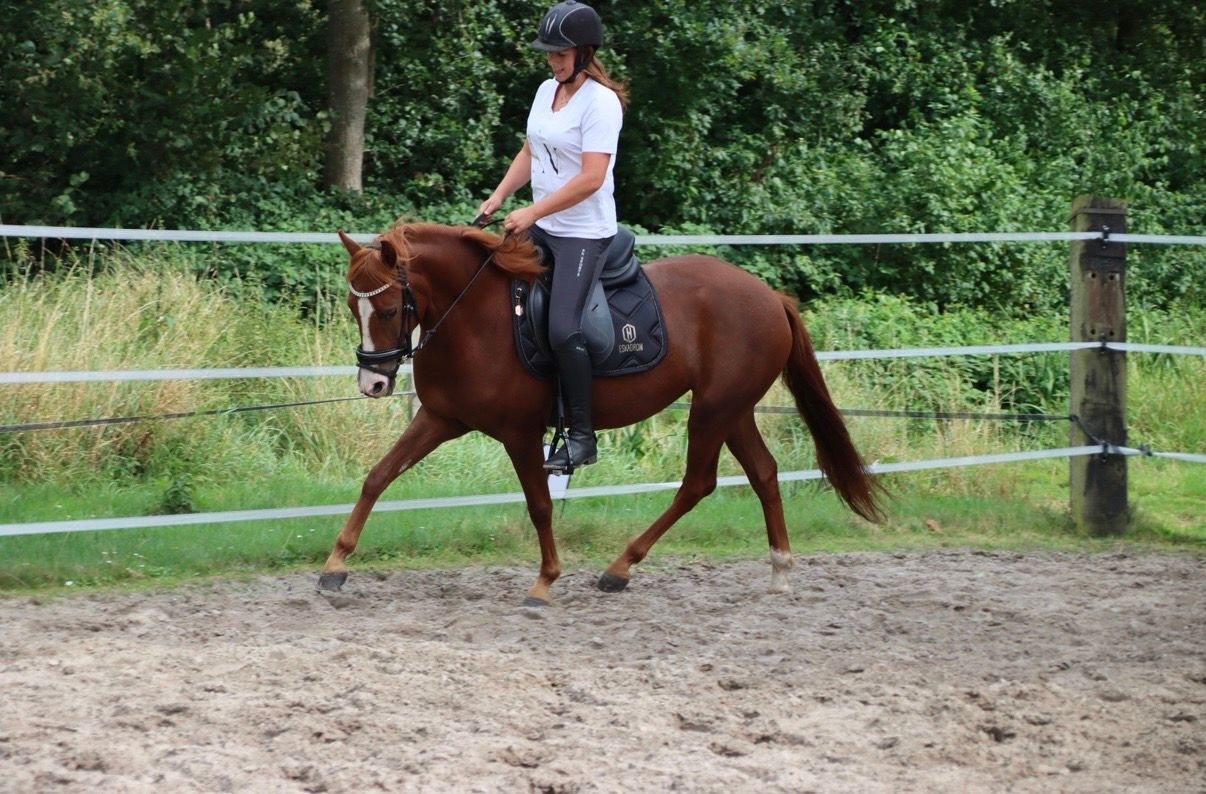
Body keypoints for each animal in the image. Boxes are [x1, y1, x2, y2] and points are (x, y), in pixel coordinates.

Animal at [319, 223, 882, 605]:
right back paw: (780, 570)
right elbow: (378, 477)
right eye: (352, 307)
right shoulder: (439, 418)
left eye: (388, 309)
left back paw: (620, 567)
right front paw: (335, 564)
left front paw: (544, 582)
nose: (373, 383)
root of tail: (768, 295)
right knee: (763, 473)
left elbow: (540, 504)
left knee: (697, 483)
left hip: (713, 409)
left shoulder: (519, 433)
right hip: (732, 408)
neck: (476, 316)